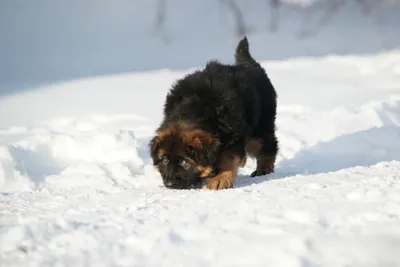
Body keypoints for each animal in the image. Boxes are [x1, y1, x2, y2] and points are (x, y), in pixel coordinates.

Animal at [148, 36, 276, 191]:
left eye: (185, 162)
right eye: (165, 160)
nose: (169, 184)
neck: (195, 111)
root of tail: (252, 67)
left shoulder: (234, 135)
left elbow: (228, 158)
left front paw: (220, 179)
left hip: (260, 128)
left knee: (267, 146)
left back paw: (263, 170)